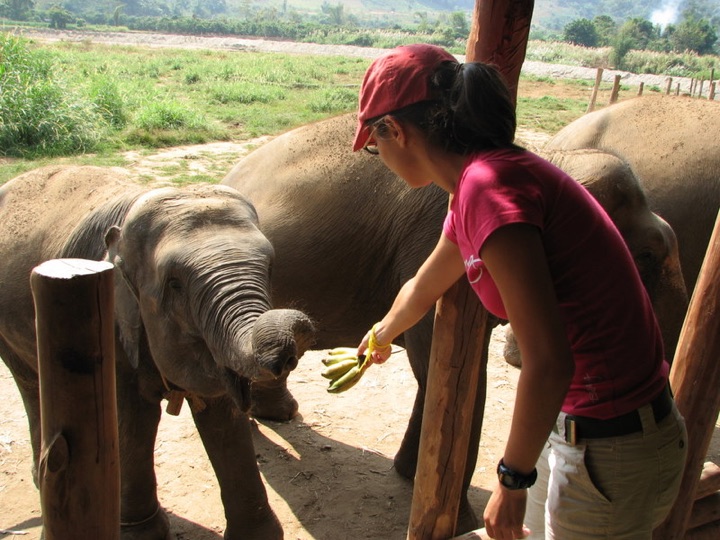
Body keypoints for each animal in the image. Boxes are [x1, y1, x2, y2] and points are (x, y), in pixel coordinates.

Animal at [0, 165, 316, 540]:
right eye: (175, 284)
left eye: (269, 269)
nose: (301, 327)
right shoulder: (112, 320)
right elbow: (134, 417)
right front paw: (140, 534)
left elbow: (221, 416)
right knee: (29, 384)